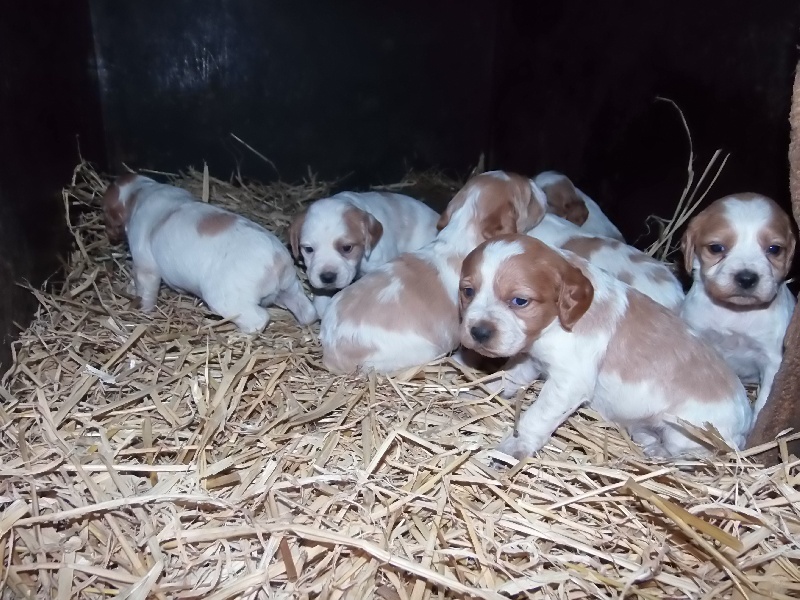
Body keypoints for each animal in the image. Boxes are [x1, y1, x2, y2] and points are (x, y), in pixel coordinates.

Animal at [103, 174, 316, 333]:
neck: (141, 191)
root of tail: (277, 260)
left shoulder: (145, 265)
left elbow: (145, 290)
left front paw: (143, 310)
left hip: (225, 300)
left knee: (258, 320)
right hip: (291, 288)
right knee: (307, 312)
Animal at [459, 234, 752, 458]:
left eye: (520, 301)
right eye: (468, 291)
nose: (478, 332)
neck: (556, 324)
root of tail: (745, 422)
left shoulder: (569, 382)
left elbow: (537, 415)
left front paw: (514, 447)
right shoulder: (532, 360)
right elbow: (506, 378)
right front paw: (480, 392)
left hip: (686, 433)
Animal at [680, 193, 797, 419]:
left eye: (774, 249)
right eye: (716, 248)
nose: (746, 278)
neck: (736, 312)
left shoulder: (772, 360)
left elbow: (764, 401)